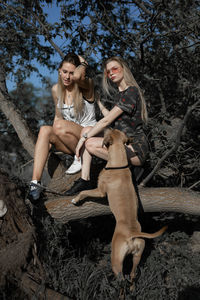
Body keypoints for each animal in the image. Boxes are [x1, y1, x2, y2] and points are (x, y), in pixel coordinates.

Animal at [72, 129, 167, 288]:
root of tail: (132, 234)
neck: (118, 163)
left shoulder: (100, 191)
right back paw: (132, 288)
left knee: (121, 278)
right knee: (133, 274)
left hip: (116, 260)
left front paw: (76, 199)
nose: (106, 127)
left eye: (108, 130)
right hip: (137, 255)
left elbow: (84, 192)